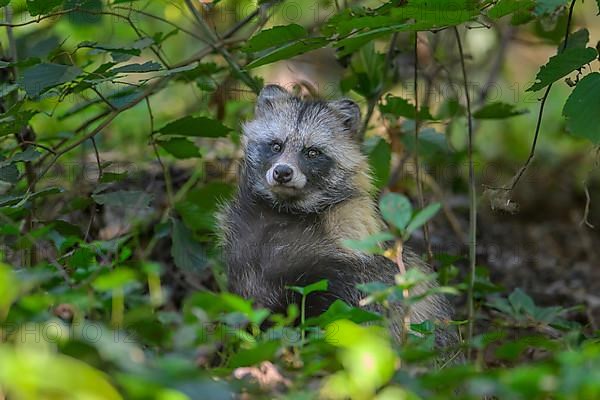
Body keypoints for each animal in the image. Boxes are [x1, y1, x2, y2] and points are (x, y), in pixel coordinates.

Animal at [218, 84, 458, 346]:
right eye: (276, 146)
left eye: (312, 152)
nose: (282, 172)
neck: (285, 210)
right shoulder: (243, 247)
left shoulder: (346, 260)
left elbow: (338, 314)